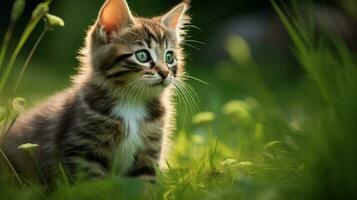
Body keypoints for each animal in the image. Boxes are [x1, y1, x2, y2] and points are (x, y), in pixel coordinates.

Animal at [0, 0, 189, 184]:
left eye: (169, 57)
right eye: (142, 56)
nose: (165, 73)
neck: (132, 102)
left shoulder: (149, 154)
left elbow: (144, 185)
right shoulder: (83, 152)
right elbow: (93, 186)